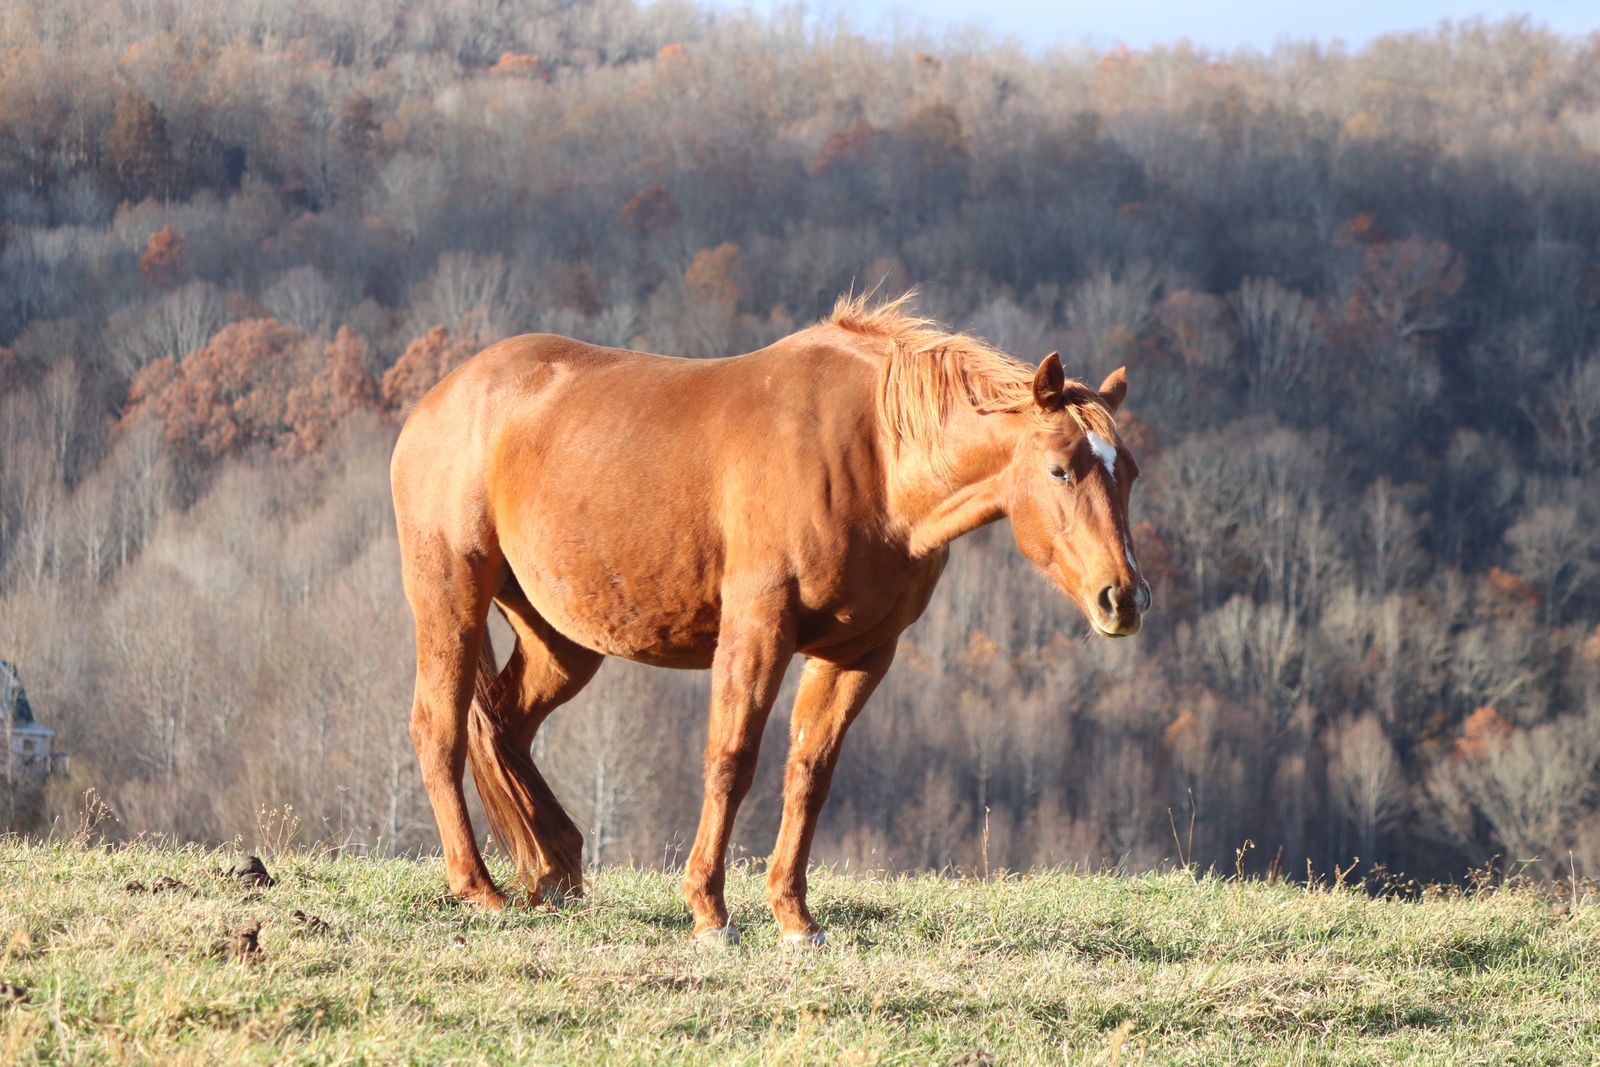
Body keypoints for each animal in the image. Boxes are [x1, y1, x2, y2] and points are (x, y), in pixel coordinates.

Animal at [390, 292, 1149, 946]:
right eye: (1060, 469)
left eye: (1130, 472)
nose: (1125, 597)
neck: (872, 456)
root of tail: (437, 401)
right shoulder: (758, 630)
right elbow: (731, 760)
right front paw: (708, 911)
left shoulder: (860, 652)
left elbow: (809, 772)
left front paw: (794, 918)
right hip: (451, 597)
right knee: (440, 729)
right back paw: (479, 887)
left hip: (562, 640)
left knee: (503, 728)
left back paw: (552, 870)